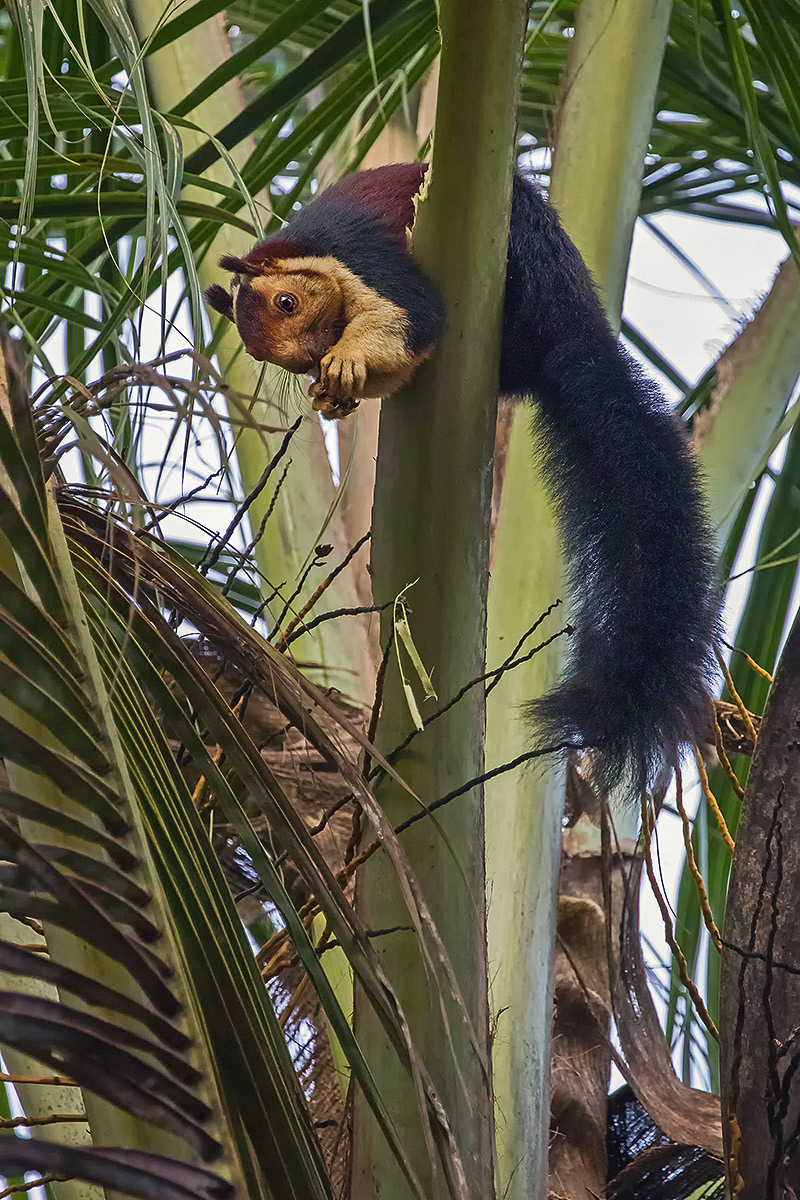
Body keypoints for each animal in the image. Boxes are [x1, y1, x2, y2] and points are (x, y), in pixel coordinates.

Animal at [206, 163, 720, 794]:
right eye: (274, 359)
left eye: (287, 301)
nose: (311, 357)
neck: (311, 250)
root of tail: (567, 326)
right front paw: (335, 393)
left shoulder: (368, 255)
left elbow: (412, 319)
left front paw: (349, 361)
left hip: (523, 250)